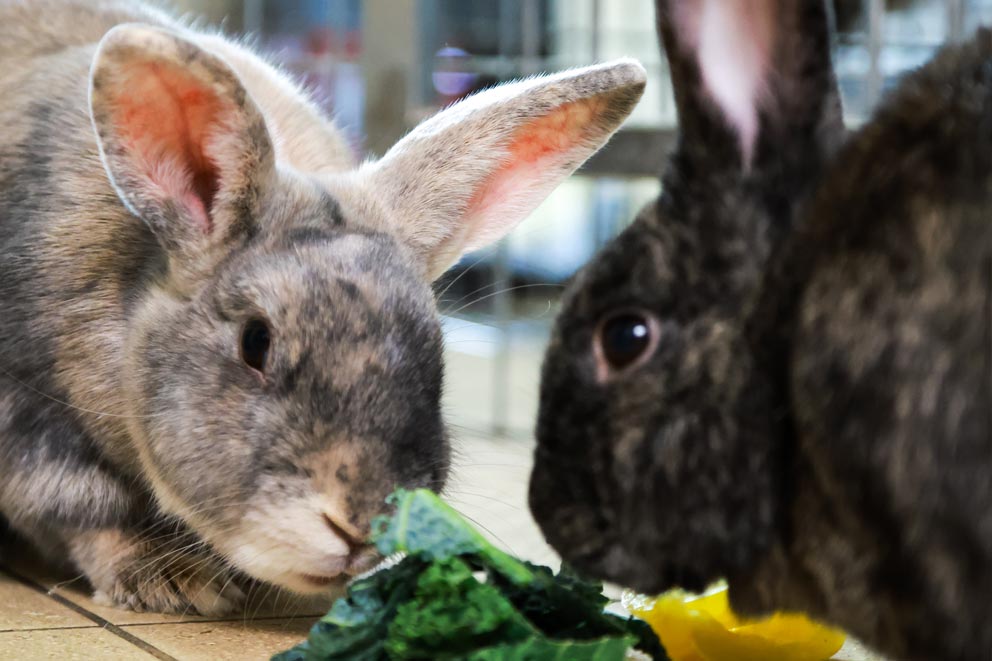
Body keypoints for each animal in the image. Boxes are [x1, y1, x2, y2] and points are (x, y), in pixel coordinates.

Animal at [0, 0, 646, 615]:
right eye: (256, 343)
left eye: (434, 357)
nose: (359, 525)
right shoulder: (33, 424)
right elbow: (84, 507)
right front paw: (175, 581)